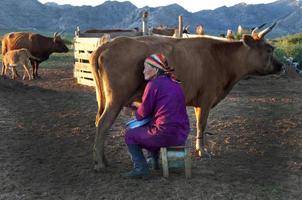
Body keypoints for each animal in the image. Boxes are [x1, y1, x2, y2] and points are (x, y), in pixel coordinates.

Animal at [89, 23, 280, 170]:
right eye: (270, 49)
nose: (282, 66)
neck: (221, 58)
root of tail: (109, 44)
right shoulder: (206, 98)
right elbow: (202, 125)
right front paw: (202, 151)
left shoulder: (199, 101)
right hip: (115, 99)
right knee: (103, 123)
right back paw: (100, 164)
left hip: (104, 99)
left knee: (98, 121)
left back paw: (102, 160)